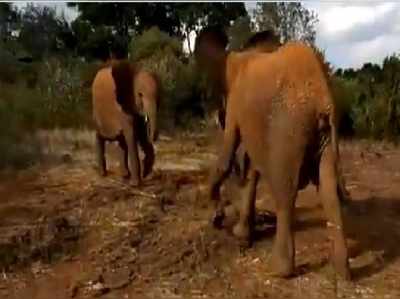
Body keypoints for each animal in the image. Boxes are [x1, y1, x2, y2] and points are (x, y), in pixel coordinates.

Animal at [196, 27, 350, 280]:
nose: (218, 219)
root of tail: (323, 99)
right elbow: (251, 168)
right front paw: (240, 233)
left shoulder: (237, 102)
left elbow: (228, 154)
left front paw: (222, 220)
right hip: (325, 135)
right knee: (328, 190)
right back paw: (341, 272)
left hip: (287, 129)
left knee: (285, 193)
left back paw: (278, 270)